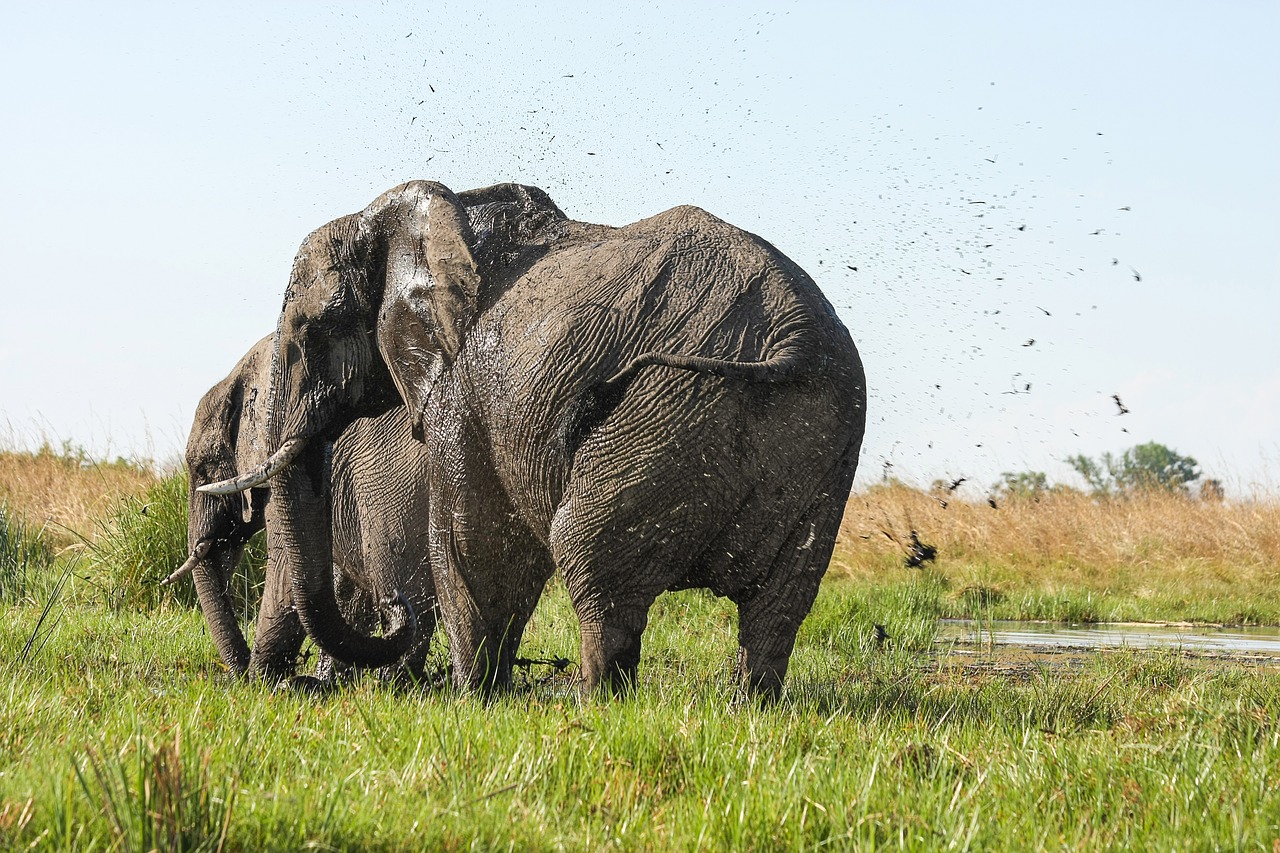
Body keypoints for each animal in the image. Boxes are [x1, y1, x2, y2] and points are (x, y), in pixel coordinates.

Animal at [167, 335, 437, 681]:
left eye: (203, 469)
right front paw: (323, 680)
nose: (237, 672)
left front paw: (265, 681)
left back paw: (395, 683)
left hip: (395, 484)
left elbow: (285, 563)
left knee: (403, 580)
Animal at [204, 180, 865, 696]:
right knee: (780, 603)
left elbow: (474, 543)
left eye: (317, 327)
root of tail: (793, 334)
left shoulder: (461, 386)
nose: (396, 610)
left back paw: (593, 703)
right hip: (821, 441)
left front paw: (475, 701)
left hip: (671, 407)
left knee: (590, 557)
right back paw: (749, 707)